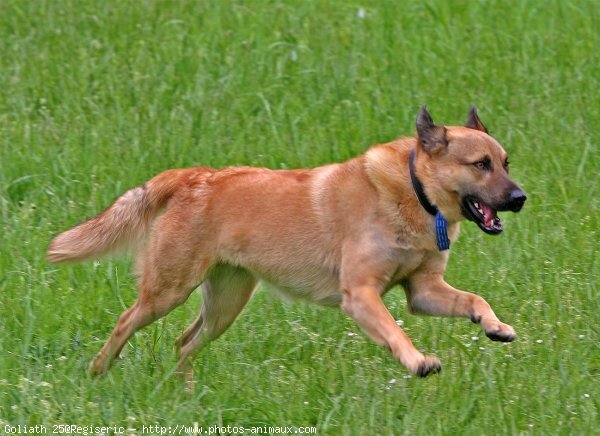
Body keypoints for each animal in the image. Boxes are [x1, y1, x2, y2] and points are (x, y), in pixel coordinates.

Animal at [47, 107, 524, 380]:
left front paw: (495, 326)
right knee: (125, 322)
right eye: (480, 165)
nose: (520, 198)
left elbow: (474, 300)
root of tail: (196, 177)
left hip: (225, 304)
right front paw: (418, 362)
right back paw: (97, 372)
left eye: (505, 163)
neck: (413, 193)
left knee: (184, 343)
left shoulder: (423, 291)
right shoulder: (361, 294)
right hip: (168, 290)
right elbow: (393, 331)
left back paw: (183, 391)